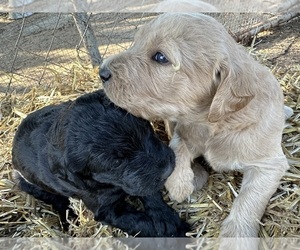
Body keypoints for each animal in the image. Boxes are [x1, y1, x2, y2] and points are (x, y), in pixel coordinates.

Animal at [12, 89, 190, 236]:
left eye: (146, 129)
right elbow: (137, 221)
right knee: (60, 202)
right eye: (116, 163)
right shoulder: (106, 208)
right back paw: (69, 223)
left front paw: (166, 218)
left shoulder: (136, 182)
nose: (168, 169)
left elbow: (149, 192)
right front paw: (172, 233)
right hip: (29, 183)